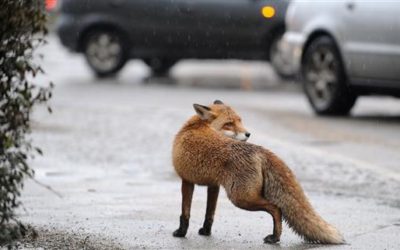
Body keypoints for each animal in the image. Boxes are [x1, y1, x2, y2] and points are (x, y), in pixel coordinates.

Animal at [172, 100, 344, 244]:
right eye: (229, 124)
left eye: (240, 121)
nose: (248, 134)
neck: (195, 126)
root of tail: (260, 149)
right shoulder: (213, 185)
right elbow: (210, 213)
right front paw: (206, 231)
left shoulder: (186, 180)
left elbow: (185, 213)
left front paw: (181, 233)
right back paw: (276, 237)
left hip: (241, 198)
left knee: (276, 208)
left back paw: (274, 237)